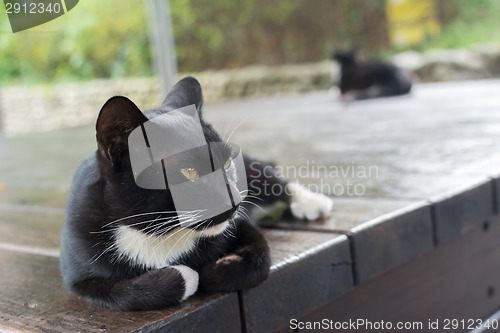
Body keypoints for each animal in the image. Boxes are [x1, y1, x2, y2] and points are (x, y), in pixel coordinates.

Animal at [59, 76, 332, 310]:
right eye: (189, 172)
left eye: (226, 163)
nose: (235, 202)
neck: (159, 233)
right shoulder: (78, 268)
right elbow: (121, 294)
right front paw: (185, 276)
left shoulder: (240, 225)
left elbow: (261, 257)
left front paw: (211, 271)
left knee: (270, 176)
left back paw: (311, 202)